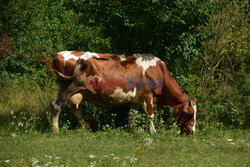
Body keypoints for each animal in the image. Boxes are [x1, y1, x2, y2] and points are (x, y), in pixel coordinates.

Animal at [51, 50, 197, 134]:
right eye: (189, 113)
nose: (192, 131)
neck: (157, 70)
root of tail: (59, 54)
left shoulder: (135, 100)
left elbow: (132, 115)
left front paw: (133, 130)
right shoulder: (146, 95)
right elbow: (151, 115)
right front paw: (153, 132)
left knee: (76, 110)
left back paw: (86, 127)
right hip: (68, 87)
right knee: (56, 105)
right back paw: (56, 131)